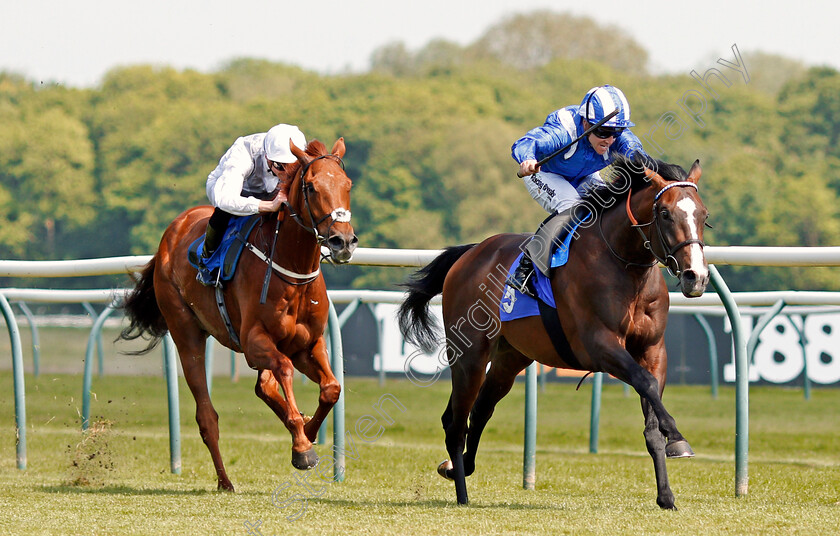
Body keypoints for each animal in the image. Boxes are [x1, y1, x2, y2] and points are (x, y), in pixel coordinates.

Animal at [117, 137, 354, 490]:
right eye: (311, 187)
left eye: (348, 185)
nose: (343, 241)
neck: (291, 270)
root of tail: (172, 231)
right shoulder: (255, 341)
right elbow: (284, 371)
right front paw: (302, 446)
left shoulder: (308, 344)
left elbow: (331, 388)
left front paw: (308, 431)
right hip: (186, 334)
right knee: (207, 415)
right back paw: (224, 480)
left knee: (264, 387)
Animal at [398, 156, 708, 510]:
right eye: (666, 214)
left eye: (703, 215)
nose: (696, 276)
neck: (625, 266)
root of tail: (470, 253)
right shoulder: (598, 345)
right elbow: (645, 384)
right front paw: (678, 437)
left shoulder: (653, 349)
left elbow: (651, 408)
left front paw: (666, 493)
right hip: (469, 356)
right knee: (456, 422)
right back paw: (461, 493)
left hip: (510, 358)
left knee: (480, 411)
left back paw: (457, 467)